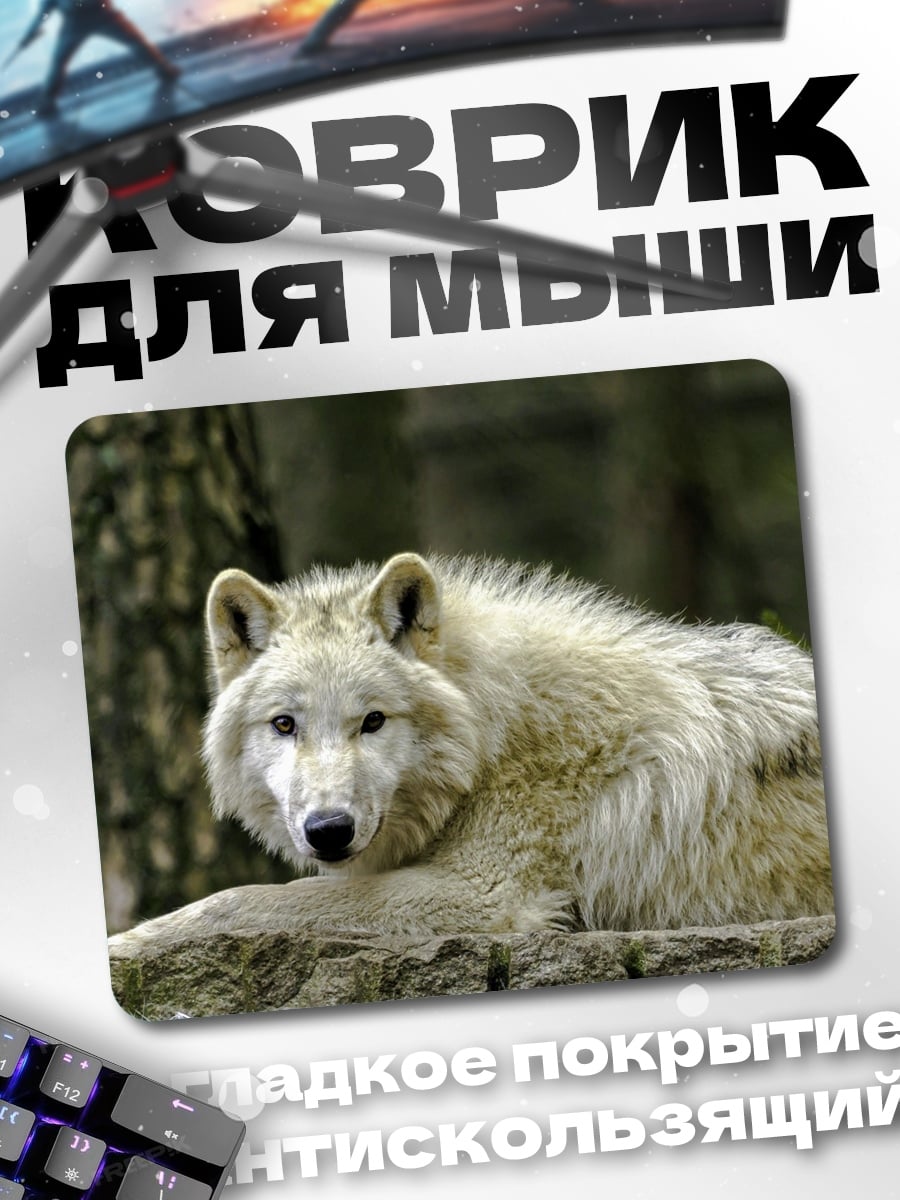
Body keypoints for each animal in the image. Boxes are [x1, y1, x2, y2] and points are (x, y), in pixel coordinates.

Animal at [108, 552, 832, 954]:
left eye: (373, 721)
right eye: (284, 724)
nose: (329, 830)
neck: (493, 733)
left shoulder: (482, 897)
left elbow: (240, 900)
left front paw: (123, 945)